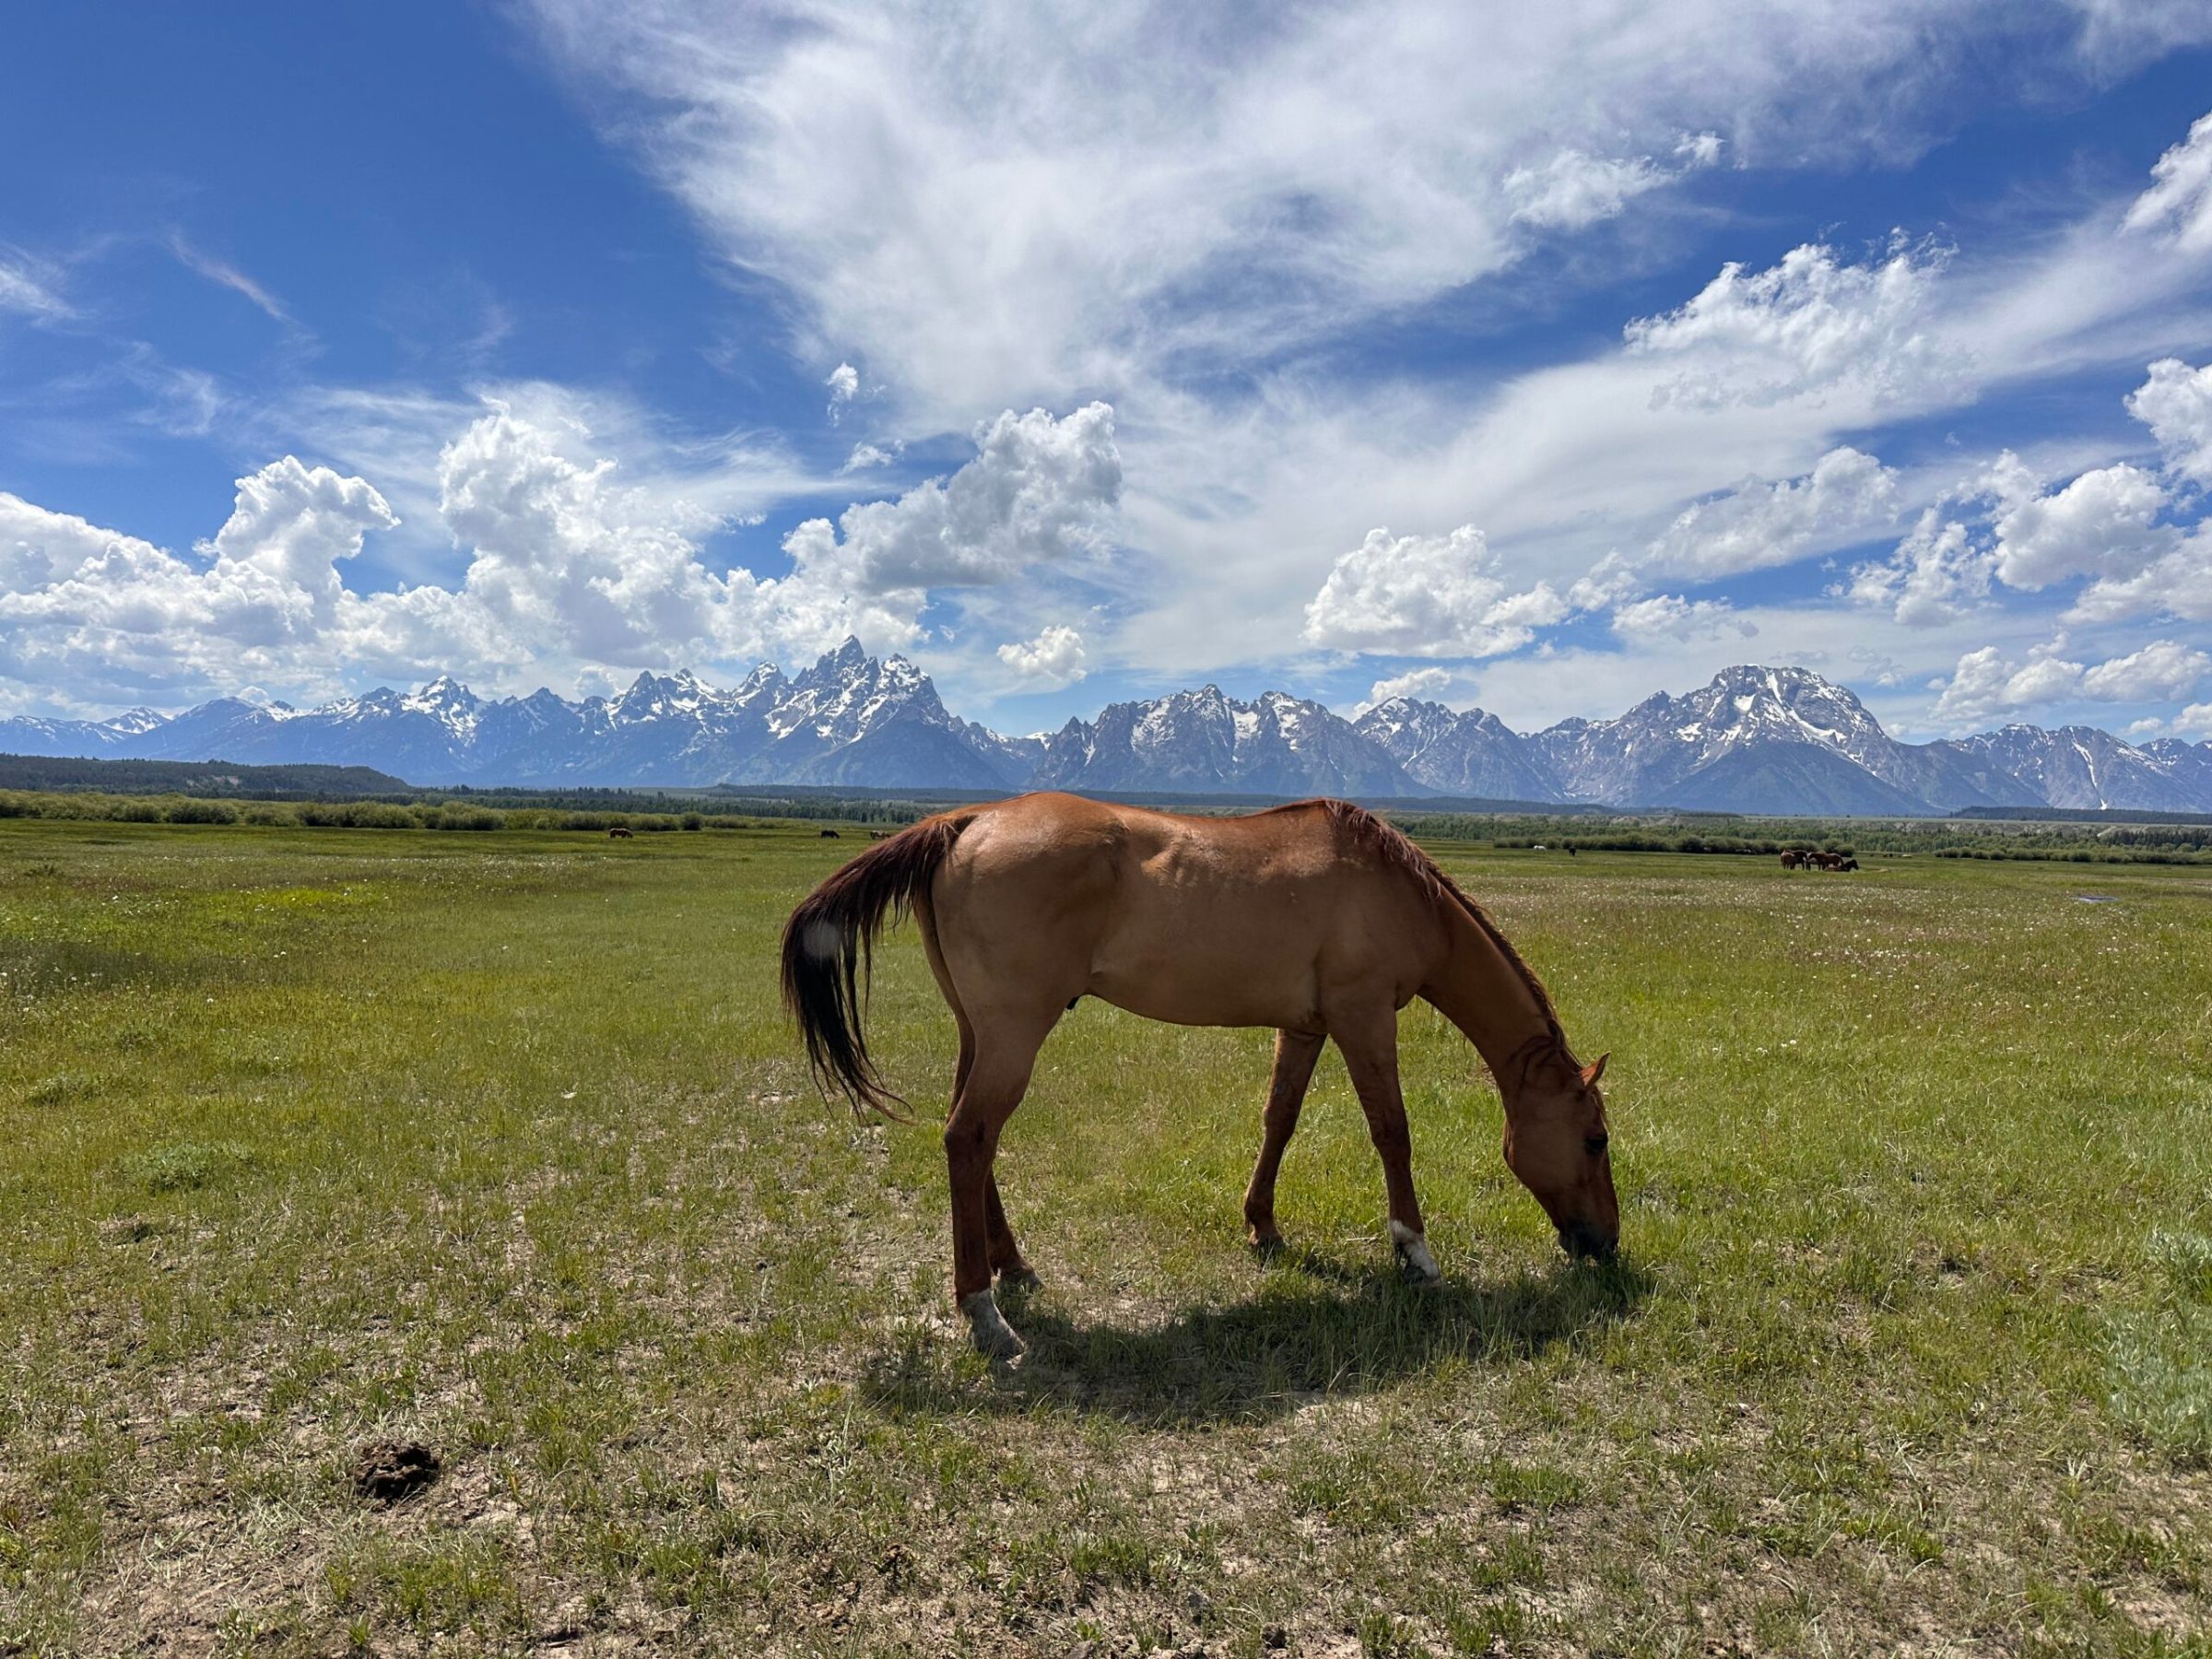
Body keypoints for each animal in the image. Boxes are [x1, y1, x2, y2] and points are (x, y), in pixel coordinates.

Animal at [781, 793, 1616, 1359]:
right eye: (1596, 1140)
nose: (1604, 1245)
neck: (1395, 891)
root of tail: (968, 820)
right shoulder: (1365, 1015)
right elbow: (1392, 1131)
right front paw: (1414, 1253)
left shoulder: (1308, 1026)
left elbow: (1280, 1119)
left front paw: (1263, 1226)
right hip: (1014, 1033)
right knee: (968, 1138)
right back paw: (984, 1311)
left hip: (979, 1033)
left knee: (973, 1141)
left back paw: (1011, 1265)